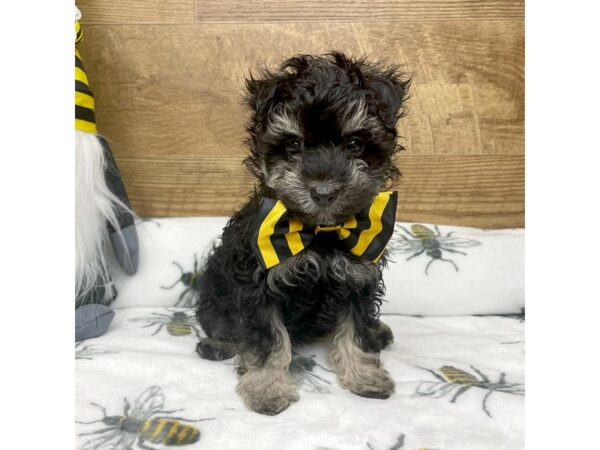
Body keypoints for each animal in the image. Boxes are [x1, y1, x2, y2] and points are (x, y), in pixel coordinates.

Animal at [195, 52, 410, 414]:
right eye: (294, 144)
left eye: (355, 144)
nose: (323, 191)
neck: (320, 232)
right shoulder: (258, 284)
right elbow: (268, 339)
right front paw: (267, 387)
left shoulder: (358, 276)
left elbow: (356, 329)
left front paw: (365, 376)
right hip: (216, 292)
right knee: (224, 322)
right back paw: (219, 345)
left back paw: (379, 332)